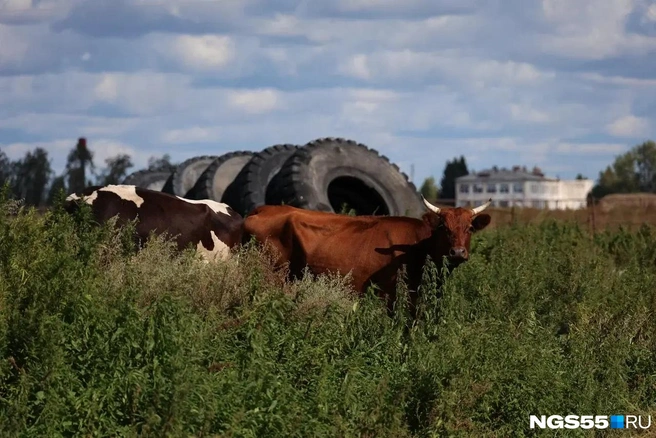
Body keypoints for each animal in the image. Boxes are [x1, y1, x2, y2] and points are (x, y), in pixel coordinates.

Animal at [242, 196, 492, 312]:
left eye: (469, 228)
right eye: (444, 228)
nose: (457, 252)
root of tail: (263, 209)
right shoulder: (388, 294)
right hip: (272, 275)